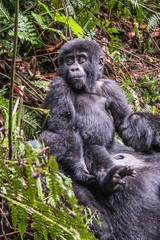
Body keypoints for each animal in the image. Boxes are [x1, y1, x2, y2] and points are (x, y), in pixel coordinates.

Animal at [31, 38, 160, 239]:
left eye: (81, 59)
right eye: (69, 61)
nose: (74, 68)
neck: (88, 88)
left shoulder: (110, 87)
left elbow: (123, 120)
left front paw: (139, 125)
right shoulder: (59, 84)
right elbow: (62, 128)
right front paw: (79, 168)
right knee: (79, 146)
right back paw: (109, 179)